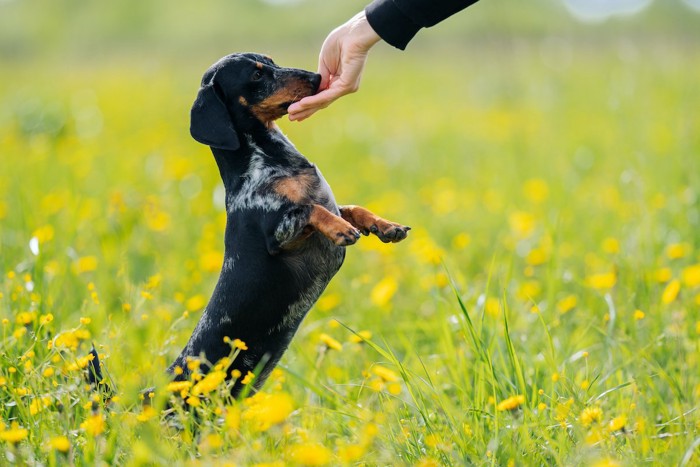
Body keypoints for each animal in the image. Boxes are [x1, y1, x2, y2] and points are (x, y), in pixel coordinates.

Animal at [167, 54, 410, 398]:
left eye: (270, 61)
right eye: (256, 75)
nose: (317, 77)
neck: (273, 160)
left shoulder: (333, 204)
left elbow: (352, 209)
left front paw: (386, 226)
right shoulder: (279, 233)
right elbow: (310, 210)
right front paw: (340, 230)